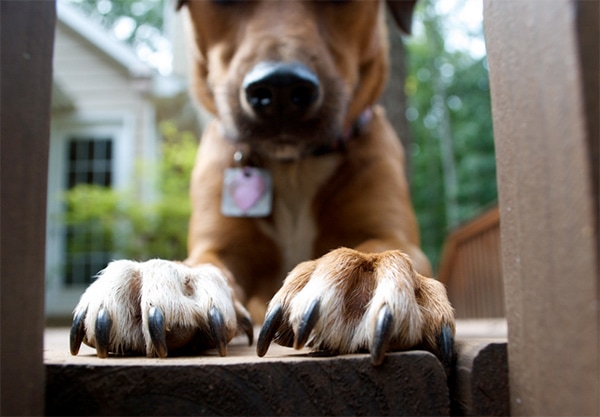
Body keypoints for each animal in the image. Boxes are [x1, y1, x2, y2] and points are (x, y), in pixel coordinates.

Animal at [70, 0, 454, 366]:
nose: (281, 88)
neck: (293, 166)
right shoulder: (219, 246)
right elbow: (203, 262)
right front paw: (167, 278)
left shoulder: (395, 233)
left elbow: (382, 246)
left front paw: (362, 274)